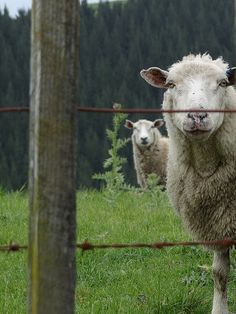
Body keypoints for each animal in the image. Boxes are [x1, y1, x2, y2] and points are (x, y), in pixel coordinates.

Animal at [140, 54, 236, 314]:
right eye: (171, 84)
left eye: (223, 83)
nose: (197, 116)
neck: (206, 167)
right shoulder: (219, 223)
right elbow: (219, 274)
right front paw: (218, 310)